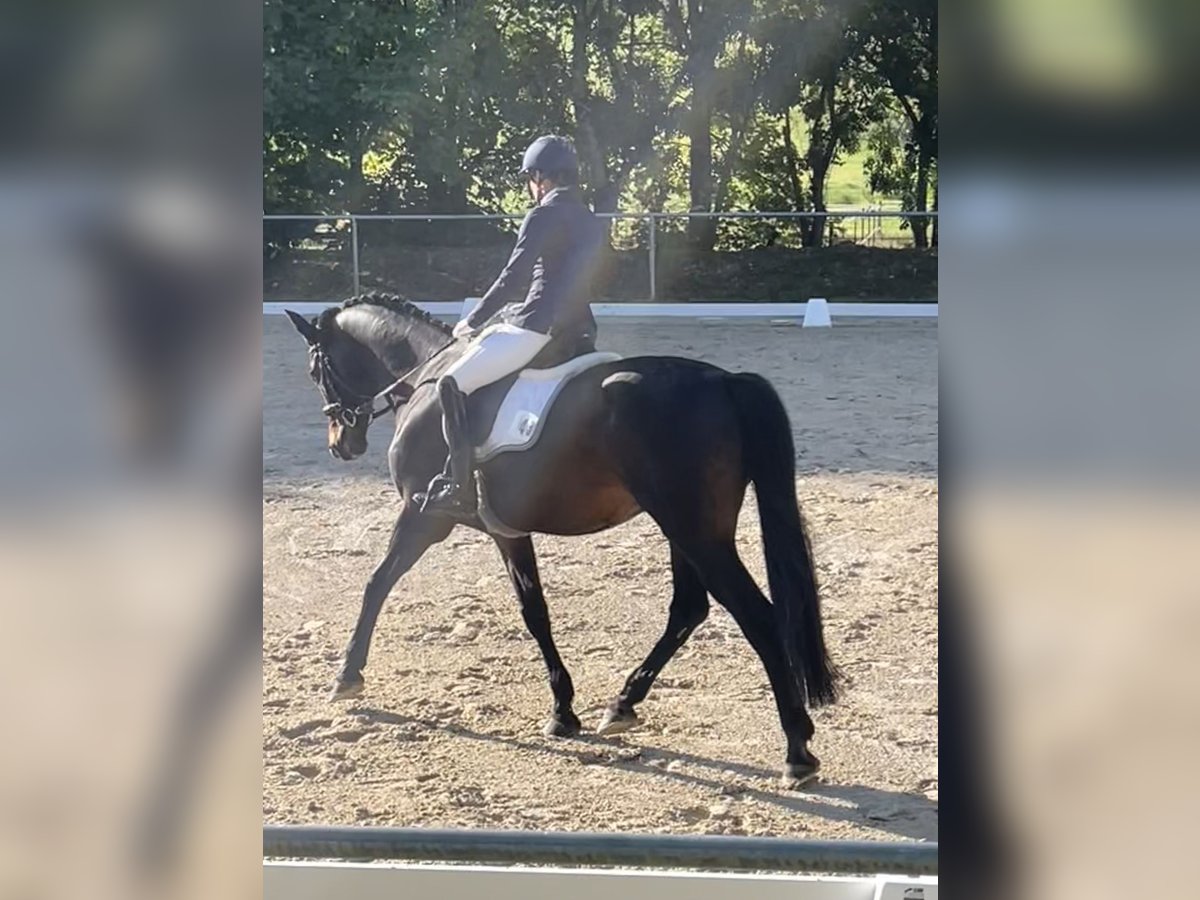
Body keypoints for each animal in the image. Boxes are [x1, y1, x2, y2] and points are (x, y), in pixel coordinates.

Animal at [284, 292, 838, 785]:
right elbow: (535, 612)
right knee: (689, 608)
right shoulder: (507, 530)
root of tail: (725, 381)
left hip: (693, 529)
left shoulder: (424, 517)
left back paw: (797, 751)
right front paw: (563, 710)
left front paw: (346, 676)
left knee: (757, 616)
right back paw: (622, 704)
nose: (341, 445)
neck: (424, 376)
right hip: (688, 529)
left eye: (315, 370)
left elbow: (376, 583)